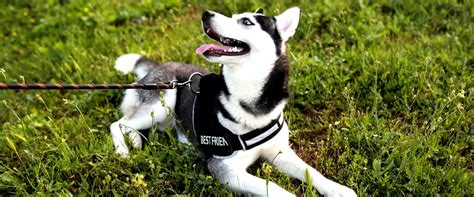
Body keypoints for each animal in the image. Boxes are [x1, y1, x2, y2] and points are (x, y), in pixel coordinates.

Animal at [111, 7, 356, 195]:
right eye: (234, 15)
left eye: (246, 21)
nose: (206, 14)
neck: (249, 99)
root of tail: (158, 66)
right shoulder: (224, 168)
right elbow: (273, 187)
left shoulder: (280, 152)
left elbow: (311, 171)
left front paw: (337, 189)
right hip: (165, 99)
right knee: (118, 123)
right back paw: (124, 150)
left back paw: (135, 140)